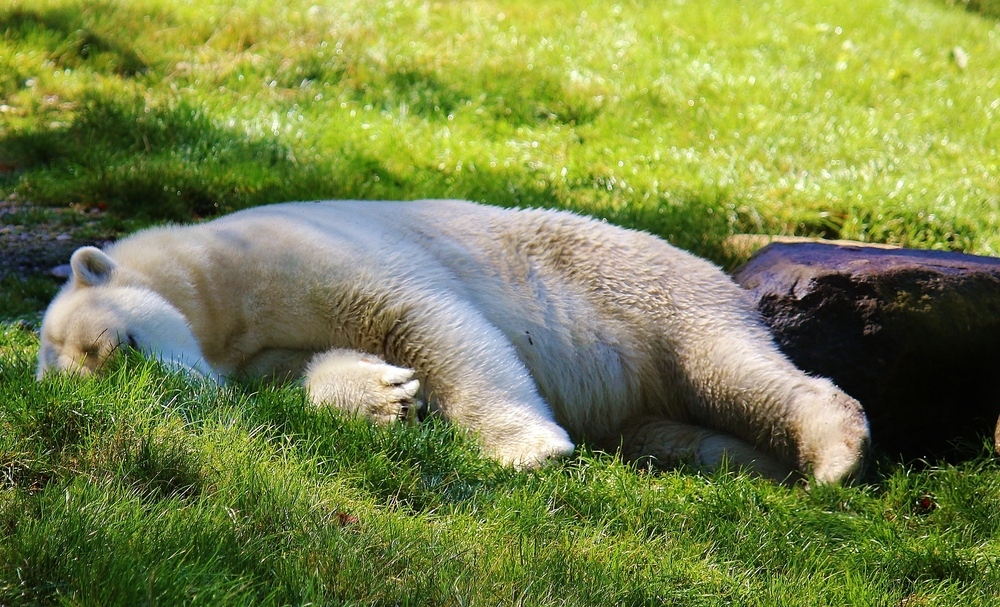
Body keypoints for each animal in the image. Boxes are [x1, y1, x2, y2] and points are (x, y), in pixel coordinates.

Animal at [35, 200, 872, 484]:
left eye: (123, 344)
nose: (170, 389)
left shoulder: (288, 252)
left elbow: (423, 317)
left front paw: (530, 447)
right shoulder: (250, 353)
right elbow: (309, 367)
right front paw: (389, 397)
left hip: (643, 291)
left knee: (724, 364)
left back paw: (834, 450)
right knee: (672, 427)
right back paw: (753, 462)